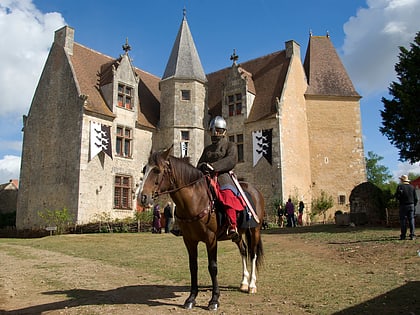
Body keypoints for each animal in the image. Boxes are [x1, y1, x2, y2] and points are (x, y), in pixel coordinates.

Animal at [138, 148, 264, 312]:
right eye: (144, 169)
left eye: (157, 170)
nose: (142, 197)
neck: (195, 200)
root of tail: (255, 191)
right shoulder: (189, 240)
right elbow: (193, 267)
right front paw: (191, 298)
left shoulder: (211, 240)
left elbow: (213, 267)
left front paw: (214, 300)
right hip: (237, 234)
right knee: (243, 250)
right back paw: (243, 282)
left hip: (255, 230)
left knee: (253, 254)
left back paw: (252, 285)